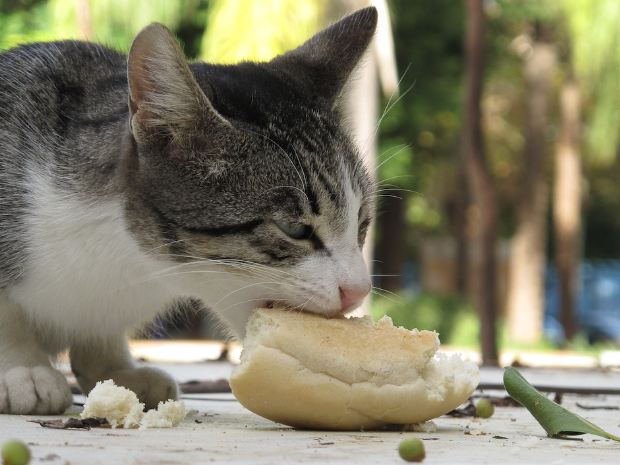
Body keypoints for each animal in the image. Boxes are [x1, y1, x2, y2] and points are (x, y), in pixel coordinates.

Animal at [0, 7, 378, 414]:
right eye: (293, 228)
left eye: (361, 221)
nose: (359, 290)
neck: (128, 266)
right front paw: (21, 367)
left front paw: (113, 369)